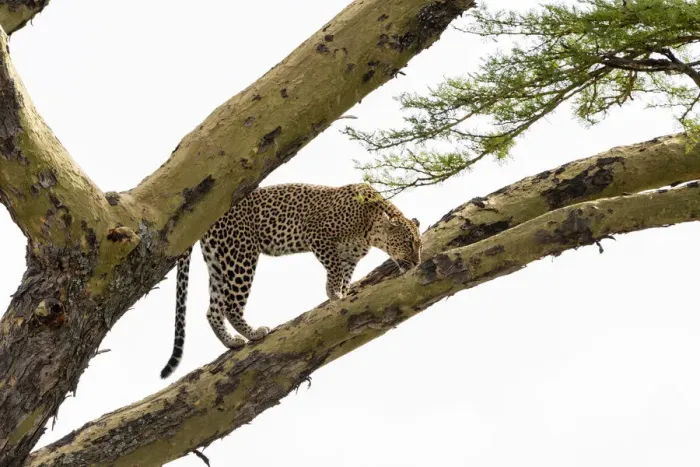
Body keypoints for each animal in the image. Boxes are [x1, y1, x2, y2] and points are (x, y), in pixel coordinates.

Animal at [160, 183, 422, 378]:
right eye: (409, 243)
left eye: (419, 245)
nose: (418, 262)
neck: (371, 227)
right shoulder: (319, 236)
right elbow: (334, 269)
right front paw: (334, 293)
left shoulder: (350, 257)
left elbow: (345, 276)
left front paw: (343, 293)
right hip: (241, 255)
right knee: (231, 305)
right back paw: (254, 334)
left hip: (219, 261)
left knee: (213, 309)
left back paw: (232, 342)